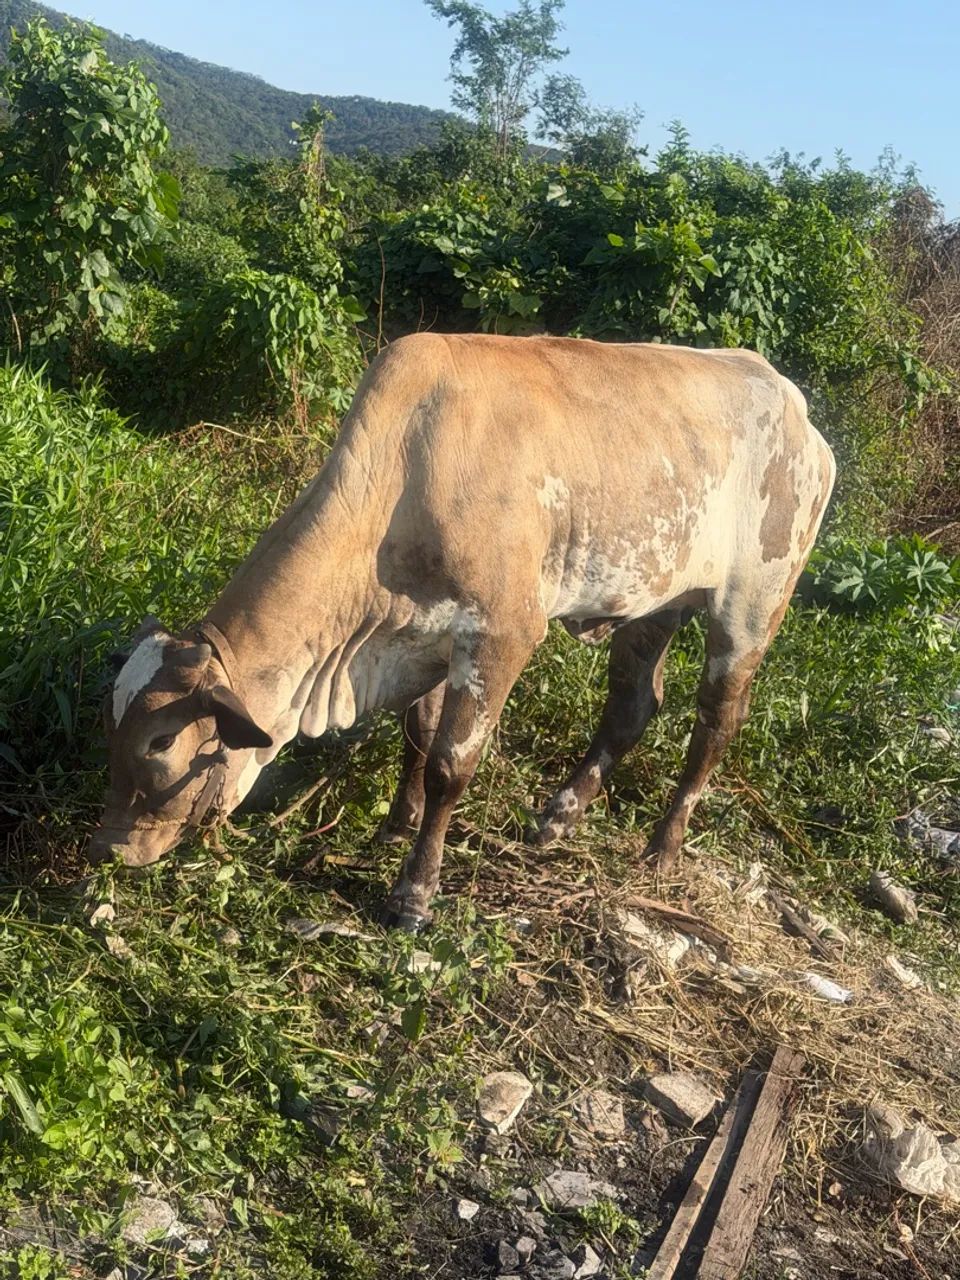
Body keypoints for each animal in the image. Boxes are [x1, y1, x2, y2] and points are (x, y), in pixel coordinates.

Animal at [91, 333, 835, 931]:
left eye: (162, 743)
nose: (112, 848)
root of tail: (793, 403)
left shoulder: (503, 633)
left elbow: (451, 764)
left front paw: (413, 893)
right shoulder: (426, 635)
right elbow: (418, 738)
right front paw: (395, 827)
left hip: (753, 601)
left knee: (718, 720)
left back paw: (663, 847)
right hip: (654, 600)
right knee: (632, 705)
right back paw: (559, 815)